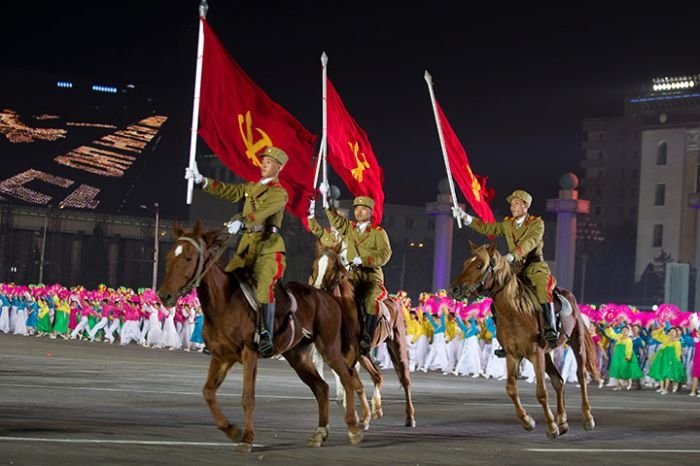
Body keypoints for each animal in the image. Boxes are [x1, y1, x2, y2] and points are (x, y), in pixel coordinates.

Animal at [157, 224, 366, 454]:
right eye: (169, 256)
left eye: (189, 258)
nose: (164, 295)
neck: (224, 302)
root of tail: (327, 296)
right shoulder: (221, 357)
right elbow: (208, 392)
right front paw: (232, 430)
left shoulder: (249, 353)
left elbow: (248, 397)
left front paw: (247, 438)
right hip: (298, 357)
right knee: (321, 387)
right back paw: (320, 432)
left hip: (329, 349)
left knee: (347, 377)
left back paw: (353, 427)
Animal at [308, 244, 416, 430]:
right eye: (315, 265)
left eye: (334, 267)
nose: (316, 289)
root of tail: (394, 302)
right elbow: (353, 382)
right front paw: (362, 416)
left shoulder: (350, 357)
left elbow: (353, 382)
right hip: (364, 354)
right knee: (377, 376)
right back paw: (376, 409)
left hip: (397, 345)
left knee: (405, 379)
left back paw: (409, 416)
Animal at [448, 242, 596, 438]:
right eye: (466, 263)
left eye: (480, 265)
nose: (454, 289)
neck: (515, 312)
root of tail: (566, 294)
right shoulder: (513, 355)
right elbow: (511, 388)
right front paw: (528, 421)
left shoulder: (535, 354)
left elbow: (541, 392)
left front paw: (551, 427)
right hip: (546, 355)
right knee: (558, 381)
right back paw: (563, 421)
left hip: (576, 343)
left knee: (581, 376)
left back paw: (587, 418)